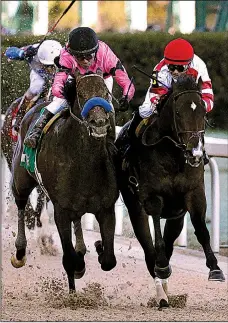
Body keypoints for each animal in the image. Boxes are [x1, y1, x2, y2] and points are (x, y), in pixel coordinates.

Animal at [9, 72, 118, 292]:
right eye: (81, 94)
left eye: (105, 93)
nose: (99, 122)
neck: (85, 163)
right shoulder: (61, 210)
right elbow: (69, 259)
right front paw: (73, 288)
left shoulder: (106, 208)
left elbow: (109, 261)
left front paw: (99, 247)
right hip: (21, 177)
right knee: (21, 203)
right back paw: (20, 252)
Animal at [115, 75, 225, 308]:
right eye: (178, 112)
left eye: (203, 111)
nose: (194, 152)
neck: (172, 154)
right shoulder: (152, 196)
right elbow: (156, 237)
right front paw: (162, 267)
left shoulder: (193, 194)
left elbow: (201, 230)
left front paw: (215, 268)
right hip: (134, 205)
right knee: (148, 244)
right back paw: (161, 287)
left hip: (176, 215)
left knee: (169, 241)